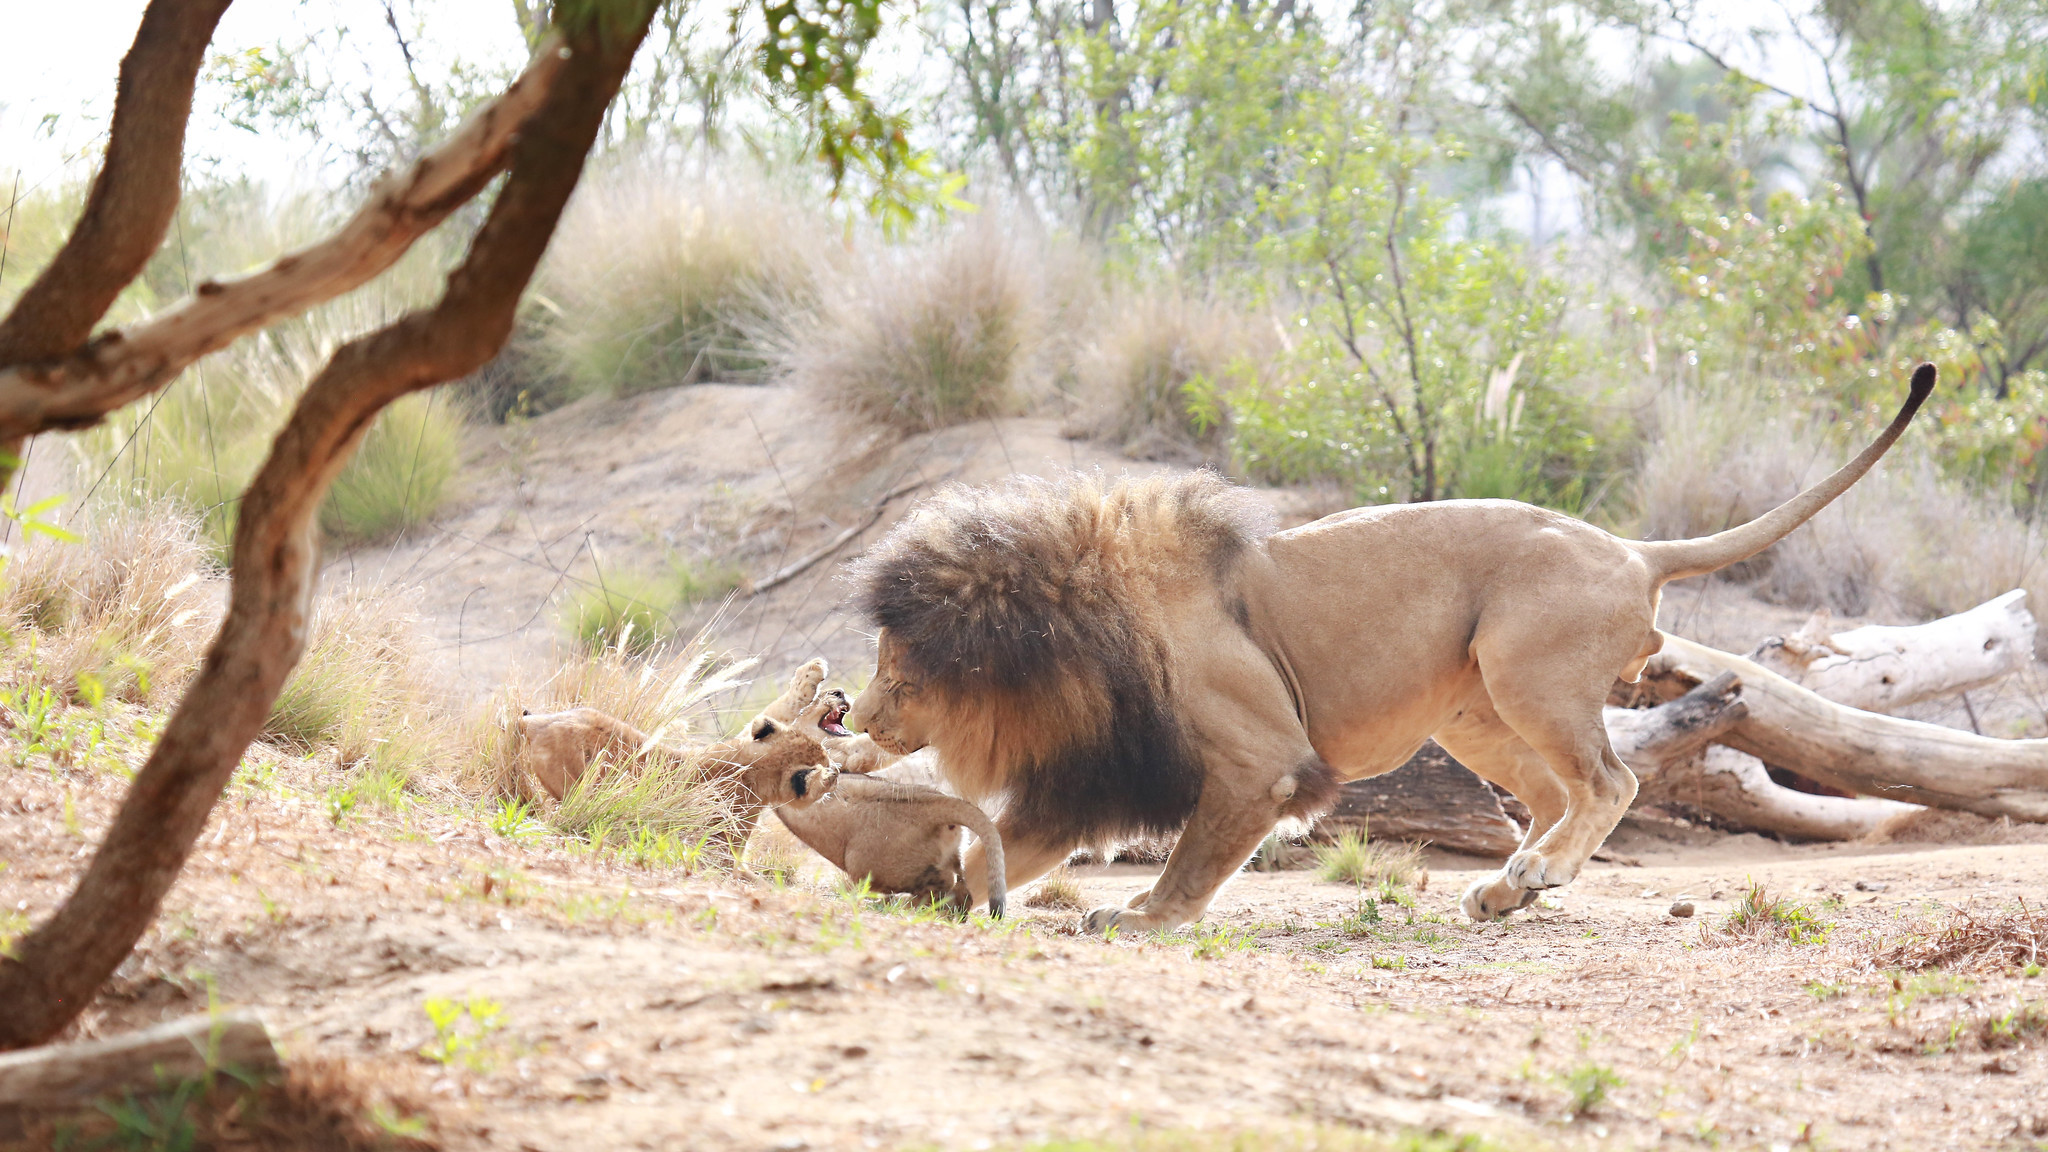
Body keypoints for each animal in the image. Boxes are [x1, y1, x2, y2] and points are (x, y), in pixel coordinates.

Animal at [844, 365, 1939, 933]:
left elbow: (1195, 860)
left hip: (1525, 670)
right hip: (1477, 710)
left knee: (1610, 780)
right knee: (1553, 792)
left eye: (896, 671)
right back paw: (1505, 887)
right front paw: (944, 893)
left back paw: (1536, 877)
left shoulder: (1258, 763)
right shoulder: (1093, 769)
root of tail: (1631, 547)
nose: (850, 713)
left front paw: (1144, 917)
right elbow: (1003, 843)